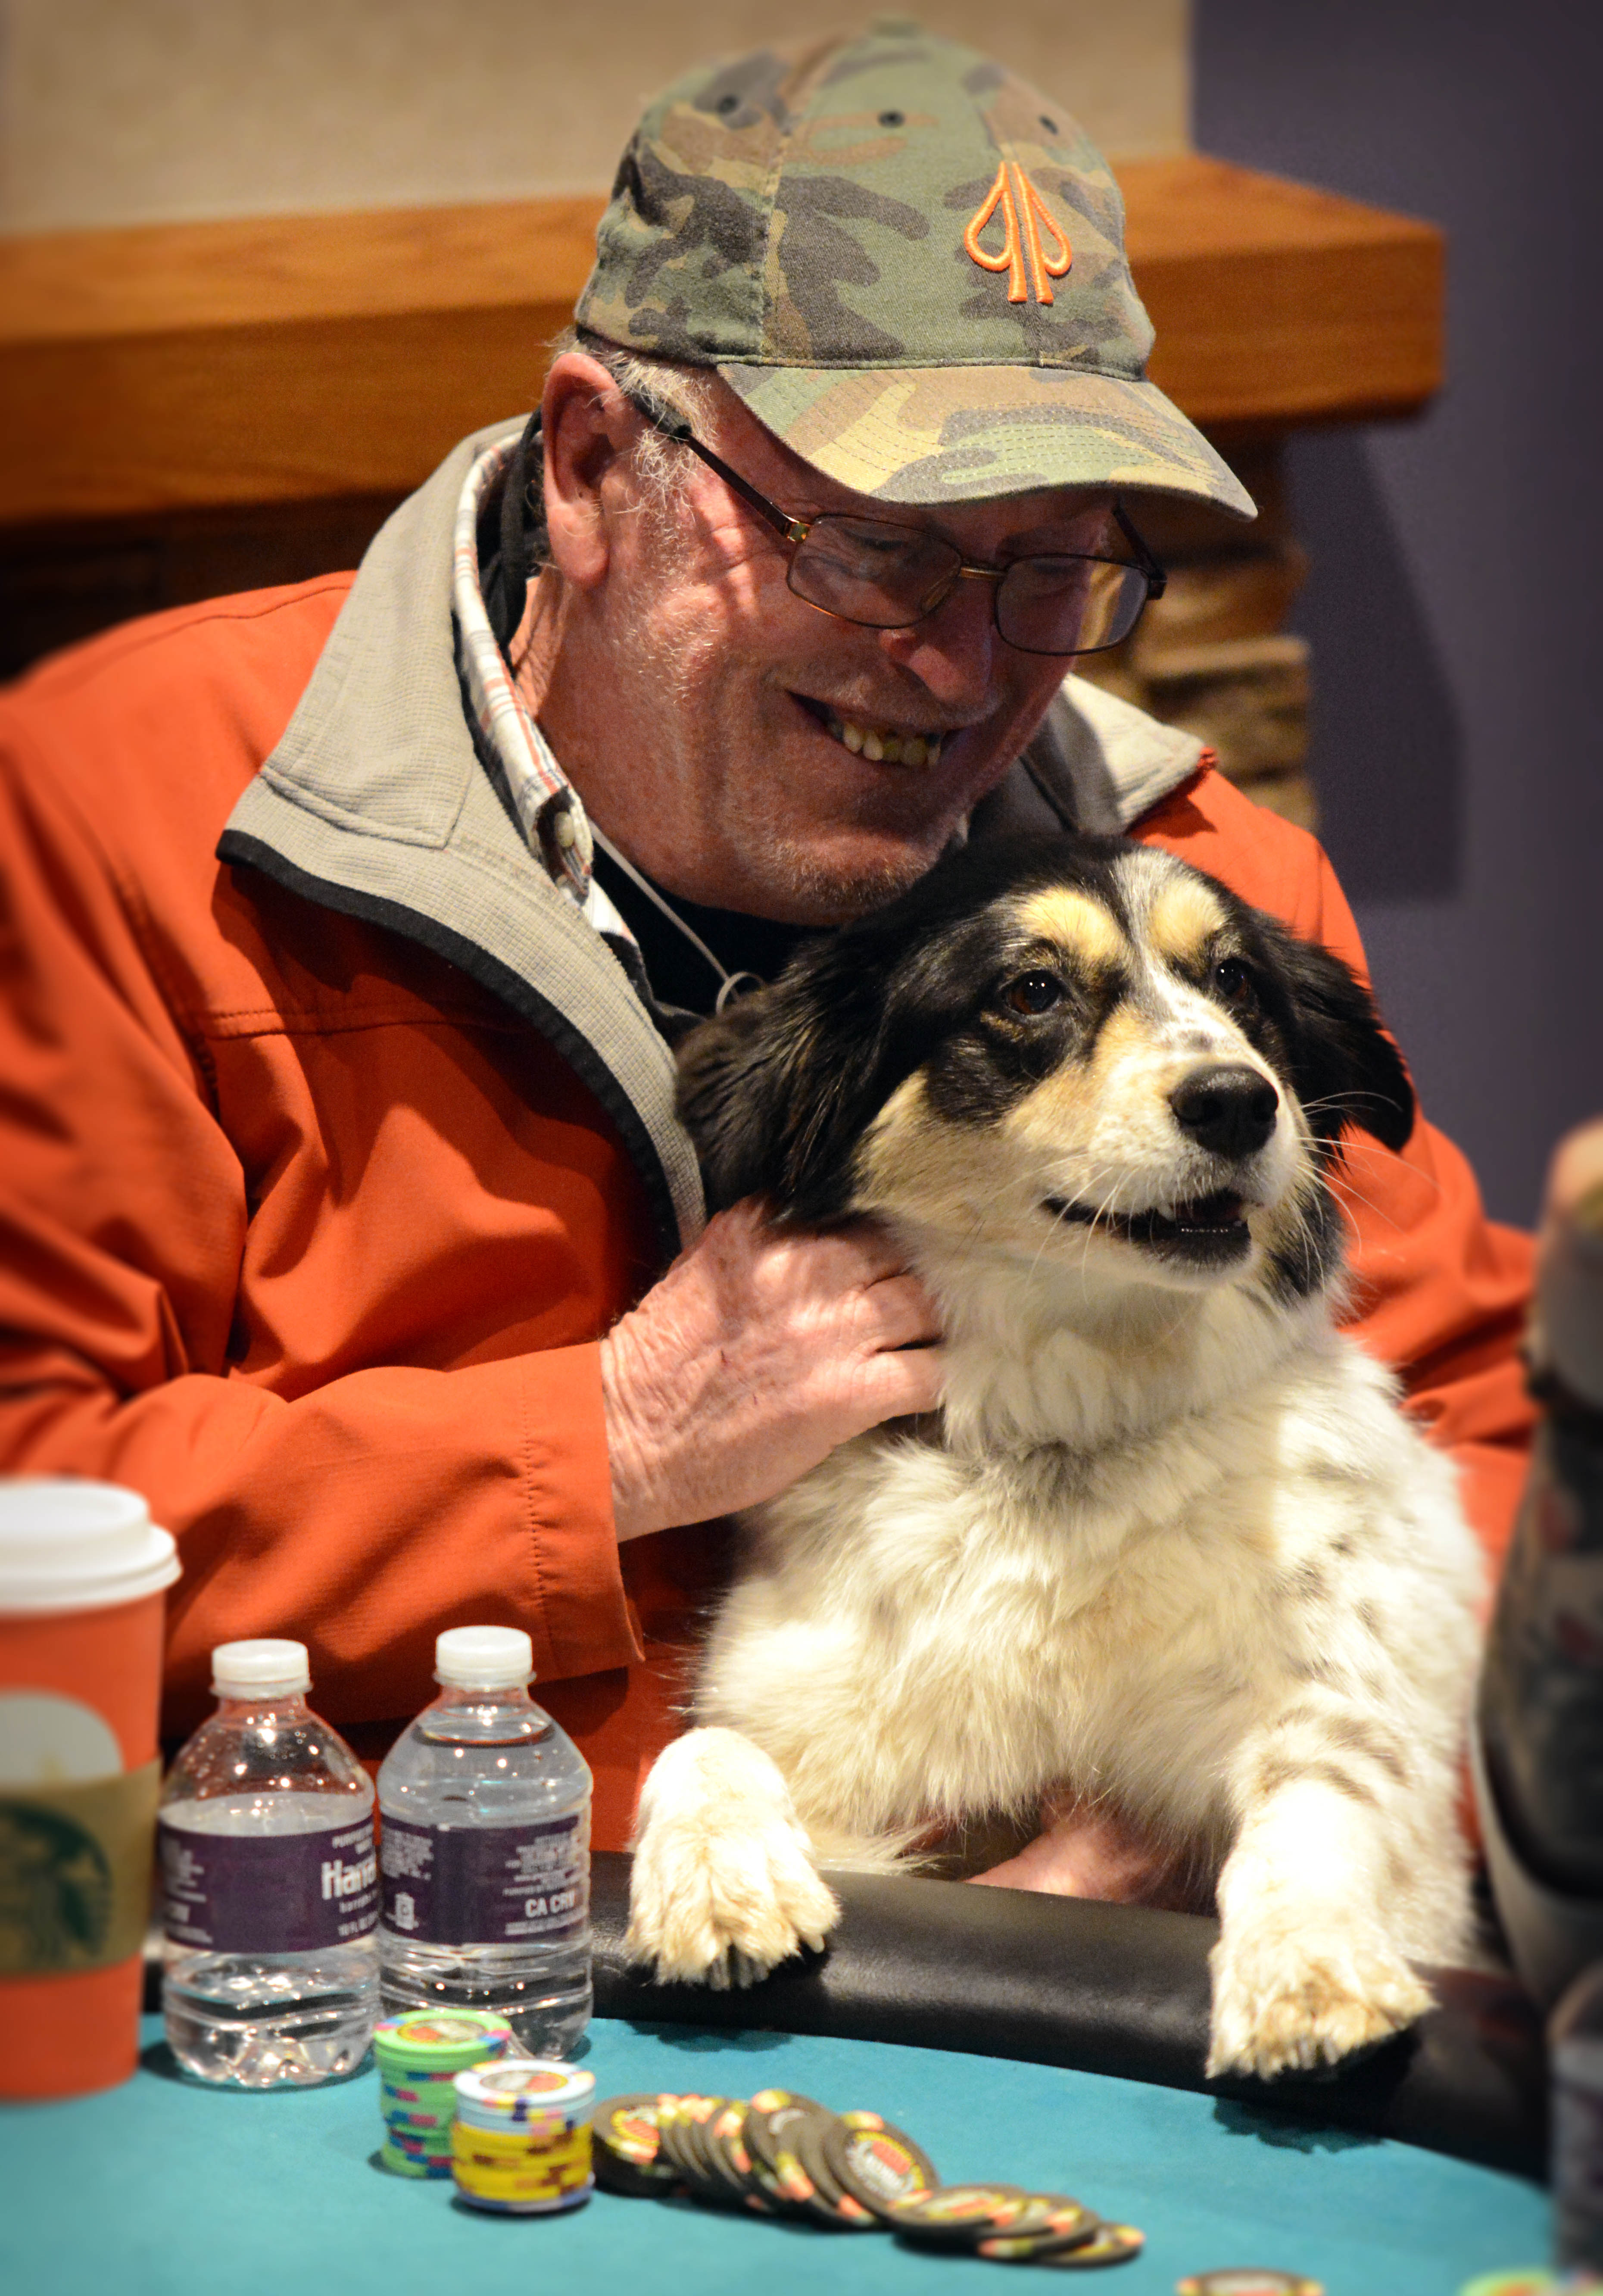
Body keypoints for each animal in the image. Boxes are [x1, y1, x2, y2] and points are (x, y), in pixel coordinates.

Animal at [620, 831, 1469, 2084]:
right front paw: (718, 1880)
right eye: (1030, 992)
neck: (1056, 1442)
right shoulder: (807, 1723)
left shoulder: (1327, 1706)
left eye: (1237, 984)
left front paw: (1307, 1970)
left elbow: (1318, 1786)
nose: (1238, 1101)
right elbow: (704, 1749)